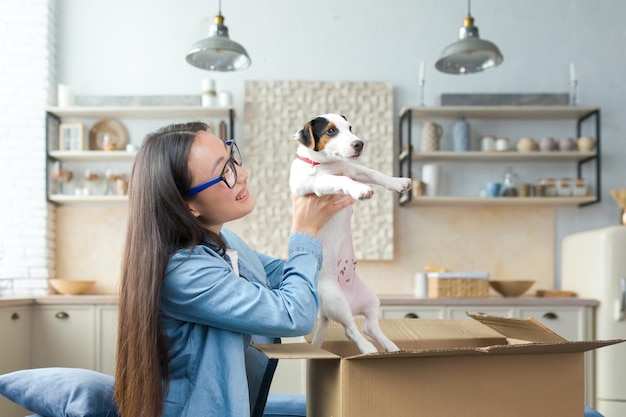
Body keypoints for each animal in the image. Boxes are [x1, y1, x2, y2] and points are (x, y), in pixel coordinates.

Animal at [290, 113, 412, 352]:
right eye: (330, 131)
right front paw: (360, 189)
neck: (325, 163)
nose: (359, 144)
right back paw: (367, 349)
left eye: (350, 128)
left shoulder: (355, 170)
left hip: (371, 299)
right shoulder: (316, 183)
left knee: (370, 327)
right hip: (336, 301)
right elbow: (339, 179)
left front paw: (397, 182)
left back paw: (390, 347)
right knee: (351, 329)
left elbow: (373, 172)